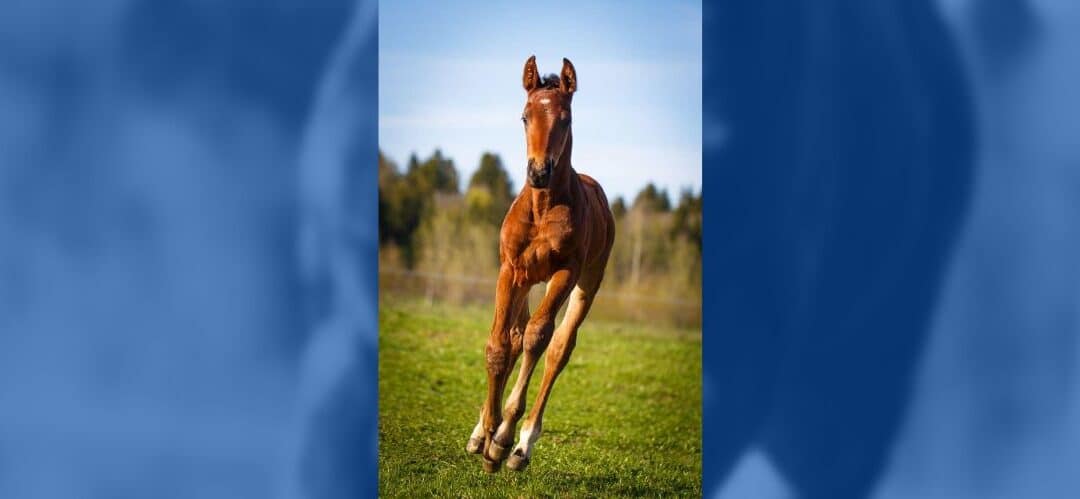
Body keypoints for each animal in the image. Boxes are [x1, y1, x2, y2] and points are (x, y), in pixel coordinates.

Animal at [464, 56, 617, 473]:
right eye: (524, 116)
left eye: (565, 118)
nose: (538, 172)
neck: (543, 208)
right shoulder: (510, 269)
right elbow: (499, 346)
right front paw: (486, 434)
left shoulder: (565, 273)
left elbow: (539, 337)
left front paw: (501, 442)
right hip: (527, 280)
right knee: (515, 336)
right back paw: (481, 432)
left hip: (587, 282)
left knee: (558, 347)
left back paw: (521, 446)